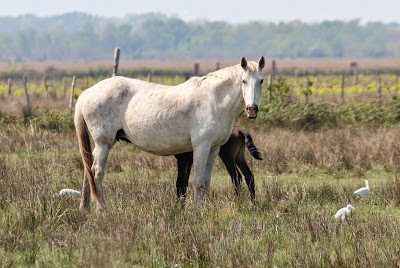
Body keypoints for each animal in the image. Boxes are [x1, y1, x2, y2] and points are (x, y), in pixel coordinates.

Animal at [74, 56, 266, 209]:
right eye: (243, 81)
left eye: (261, 81)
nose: (252, 109)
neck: (213, 100)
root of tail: (90, 91)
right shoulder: (201, 147)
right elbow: (197, 182)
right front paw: (198, 211)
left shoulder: (214, 149)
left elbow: (205, 182)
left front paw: (204, 209)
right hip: (103, 143)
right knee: (97, 172)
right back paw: (101, 208)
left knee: (88, 171)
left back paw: (85, 208)